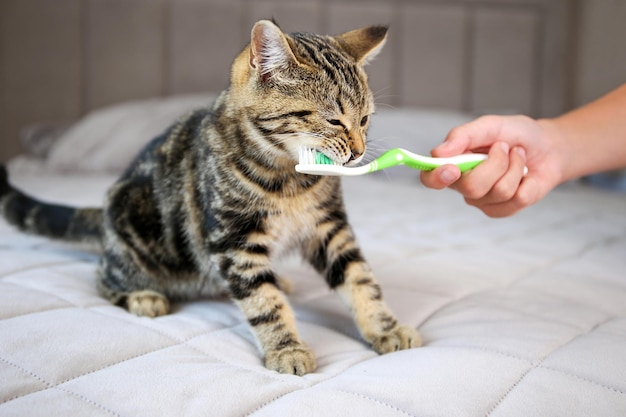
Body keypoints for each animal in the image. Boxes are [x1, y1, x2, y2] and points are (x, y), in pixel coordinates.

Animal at [0, 21, 422, 376]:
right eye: (334, 120)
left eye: (365, 120)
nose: (359, 151)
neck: (290, 179)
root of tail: (103, 216)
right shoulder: (234, 239)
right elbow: (262, 302)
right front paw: (286, 349)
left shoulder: (328, 227)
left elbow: (359, 279)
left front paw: (386, 327)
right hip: (134, 236)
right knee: (103, 276)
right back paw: (141, 297)